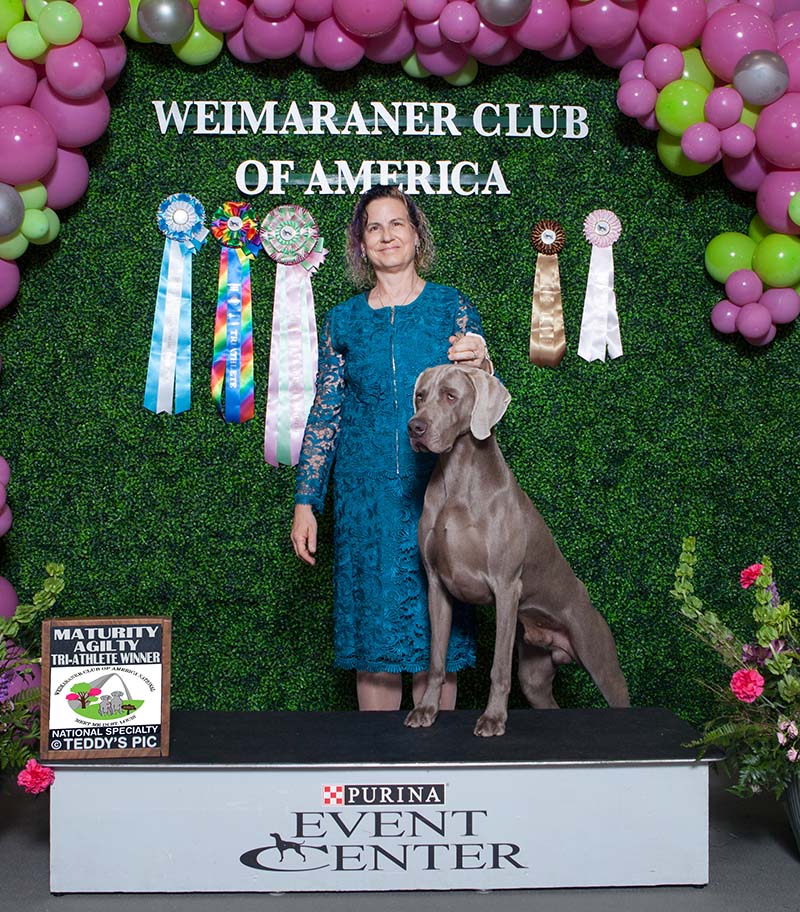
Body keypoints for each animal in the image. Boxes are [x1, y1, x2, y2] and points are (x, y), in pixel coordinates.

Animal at [404, 364, 629, 737]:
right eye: (420, 396)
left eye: (451, 396)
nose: (415, 427)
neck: (459, 480)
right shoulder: (436, 586)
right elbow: (436, 661)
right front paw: (426, 709)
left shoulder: (507, 587)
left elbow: (498, 668)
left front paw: (493, 719)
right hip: (534, 674)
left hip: (598, 655)